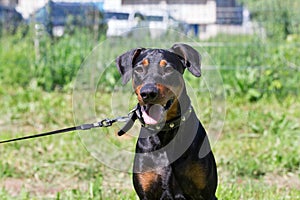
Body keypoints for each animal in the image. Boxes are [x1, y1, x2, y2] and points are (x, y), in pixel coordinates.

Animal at [116, 43, 217, 199]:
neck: (164, 133)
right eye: (139, 69)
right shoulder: (146, 192)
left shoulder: (207, 193)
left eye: (168, 69)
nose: (148, 93)